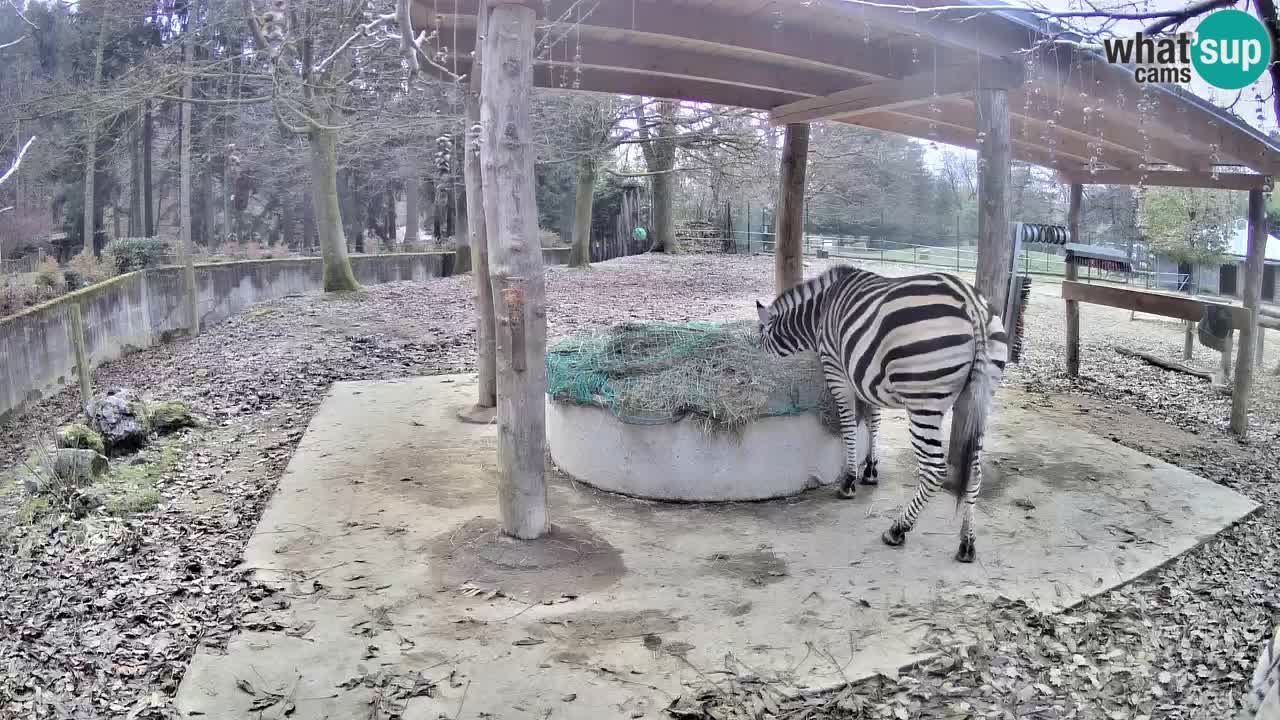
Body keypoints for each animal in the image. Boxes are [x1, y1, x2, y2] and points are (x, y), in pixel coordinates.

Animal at [747, 263, 1008, 561]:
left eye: (761, 338)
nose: (758, 357)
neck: (819, 312)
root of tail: (972, 304)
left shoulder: (837, 370)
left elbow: (849, 425)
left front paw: (849, 480)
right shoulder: (865, 375)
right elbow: (874, 420)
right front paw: (871, 470)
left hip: (924, 402)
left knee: (934, 471)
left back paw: (898, 529)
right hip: (978, 400)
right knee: (974, 472)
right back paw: (967, 542)